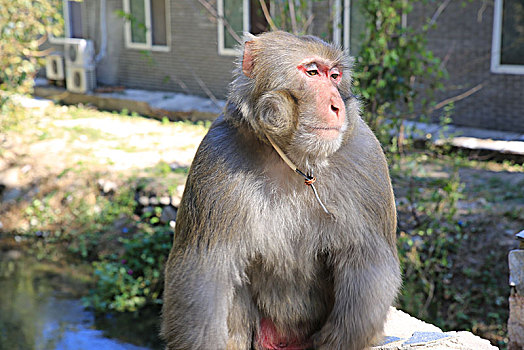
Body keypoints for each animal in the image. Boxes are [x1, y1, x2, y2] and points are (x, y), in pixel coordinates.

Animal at [162, 30, 400, 350]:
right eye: (312, 73)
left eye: (334, 76)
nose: (337, 106)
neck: (294, 158)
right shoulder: (215, 156)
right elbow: (204, 273)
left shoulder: (366, 155)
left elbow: (370, 261)